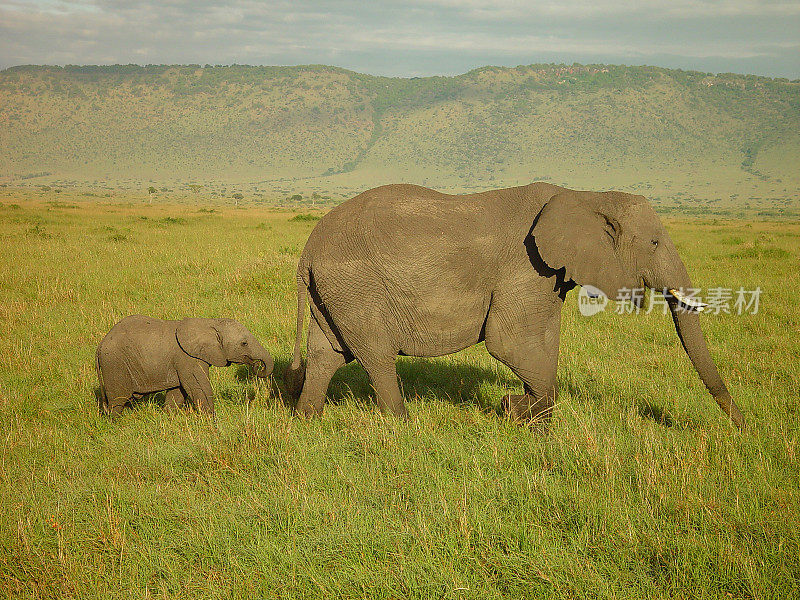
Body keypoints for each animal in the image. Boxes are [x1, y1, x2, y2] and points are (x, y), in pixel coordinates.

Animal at [94, 316, 272, 420]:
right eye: (244, 343)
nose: (257, 365)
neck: (211, 322)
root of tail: (100, 344)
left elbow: (178, 392)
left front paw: (169, 418)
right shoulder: (188, 358)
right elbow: (199, 387)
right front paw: (212, 421)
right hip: (114, 364)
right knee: (117, 400)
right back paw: (115, 422)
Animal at [282, 180, 744, 428]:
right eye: (653, 243)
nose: (743, 429)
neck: (583, 195)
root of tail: (307, 251)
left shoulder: (547, 276)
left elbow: (543, 342)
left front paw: (526, 419)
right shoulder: (525, 267)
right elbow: (509, 343)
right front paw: (518, 412)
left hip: (334, 293)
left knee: (326, 354)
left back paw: (306, 421)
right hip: (357, 288)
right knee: (376, 356)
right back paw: (404, 426)